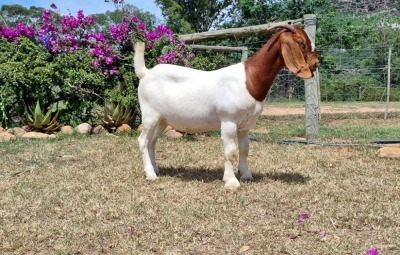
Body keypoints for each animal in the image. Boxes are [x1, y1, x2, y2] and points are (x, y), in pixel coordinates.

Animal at [134, 25, 318, 189]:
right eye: (300, 42)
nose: (316, 63)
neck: (250, 78)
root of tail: (145, 73)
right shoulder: (229, 120)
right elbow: (230, 151)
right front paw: (231, 182)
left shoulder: (245, 125)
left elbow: (244, 149)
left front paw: (246, 175)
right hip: (149, 115)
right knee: (143, 140)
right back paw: (150, 175)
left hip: (162, 119)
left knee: (152, 142)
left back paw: (155, 169)